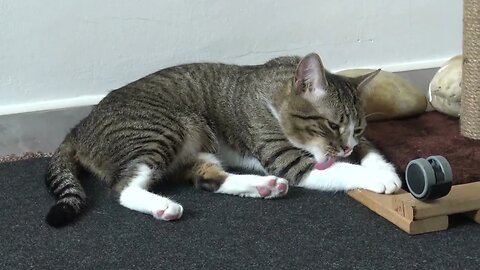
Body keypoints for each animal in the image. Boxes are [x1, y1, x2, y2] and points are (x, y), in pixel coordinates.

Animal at [45, 51, 402, 227]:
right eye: (331, 124)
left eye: (357, 129)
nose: (345, 145)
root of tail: (77, 128)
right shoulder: (286, 157)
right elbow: (340, 168)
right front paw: (379, 180)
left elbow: (370, 151)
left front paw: (385, 170)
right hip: (161, 129)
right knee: (123, 188)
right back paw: (163, 206)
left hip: (196, 146)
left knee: (207, 178)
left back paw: (262, 187)